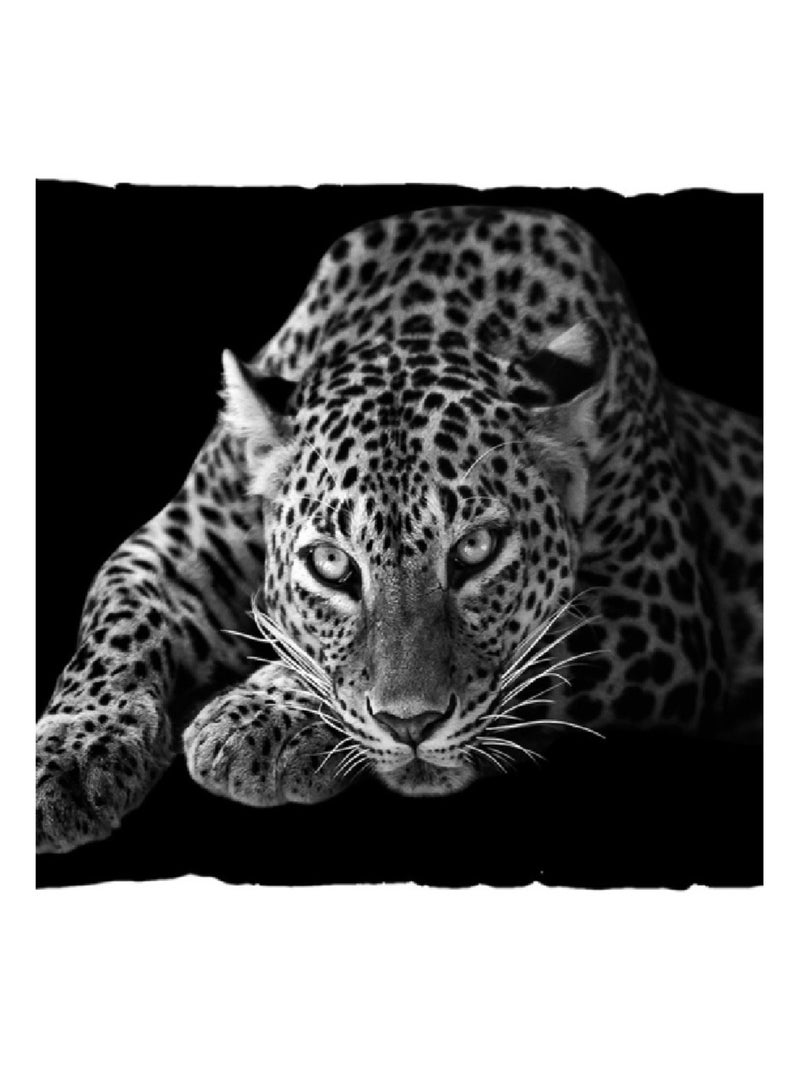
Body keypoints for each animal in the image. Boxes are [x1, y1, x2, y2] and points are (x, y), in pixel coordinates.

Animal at [36, 204, 763, 854]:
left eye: (475, 550)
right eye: (331, 564)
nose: (410, 725)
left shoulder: (664, 608)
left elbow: (545, 648)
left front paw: (261, 721)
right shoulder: (175, 548)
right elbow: (116, 622)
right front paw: (72, 756)